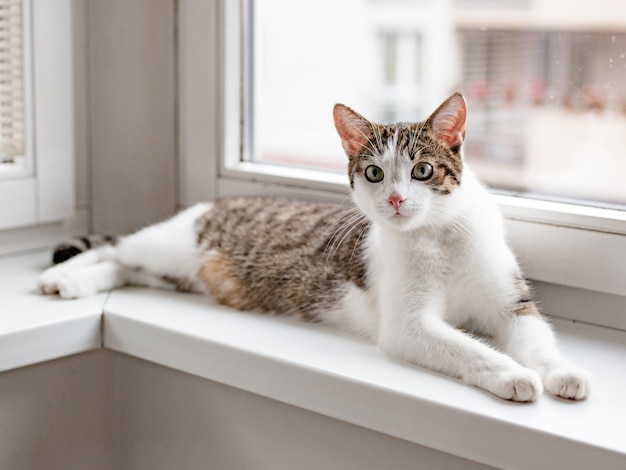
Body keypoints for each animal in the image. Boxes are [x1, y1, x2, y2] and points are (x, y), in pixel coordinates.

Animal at [39, 93, 588, 402]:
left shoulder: (511, 303)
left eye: (423, 170)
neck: (439, 234)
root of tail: (213, 200)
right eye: (374, 173)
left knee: (127, 267)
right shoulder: (408, 326)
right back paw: (63, 275)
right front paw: (511, 374)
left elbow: (537, 337)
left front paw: (562, 371)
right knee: (117, 249)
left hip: (175, 269)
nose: (395, 198)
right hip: (171, 243)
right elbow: (467, 348)